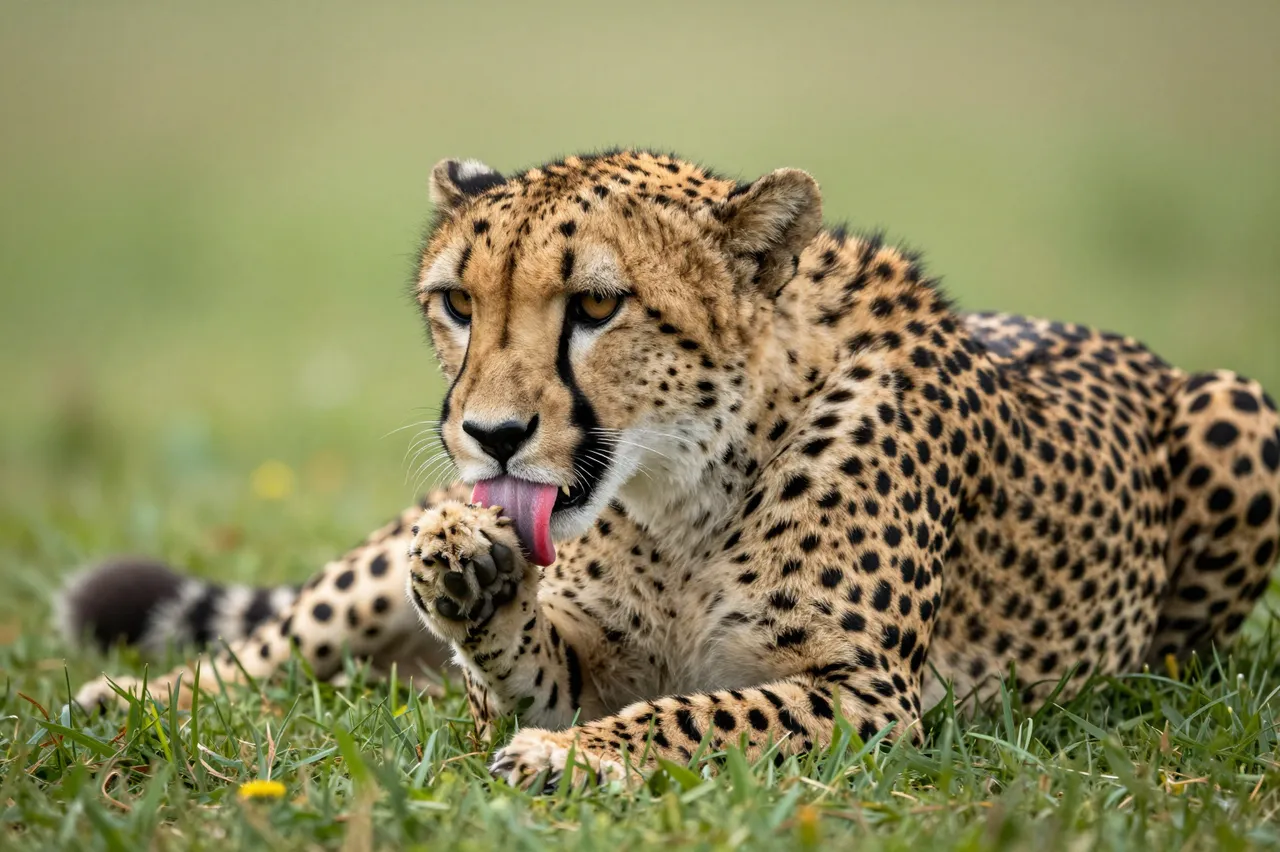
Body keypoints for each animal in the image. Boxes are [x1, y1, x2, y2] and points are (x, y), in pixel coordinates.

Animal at [58, 150, 1280, 790]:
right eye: (457, 304)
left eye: (597, 306)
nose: (489, 435)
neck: (685, 485)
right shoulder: (589, 645)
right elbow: (530, 661)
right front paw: (477, 587)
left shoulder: (873, 697)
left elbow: (695, 715)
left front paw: (567, 756)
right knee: (278, 643)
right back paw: (132, 700)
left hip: (1243, 407)